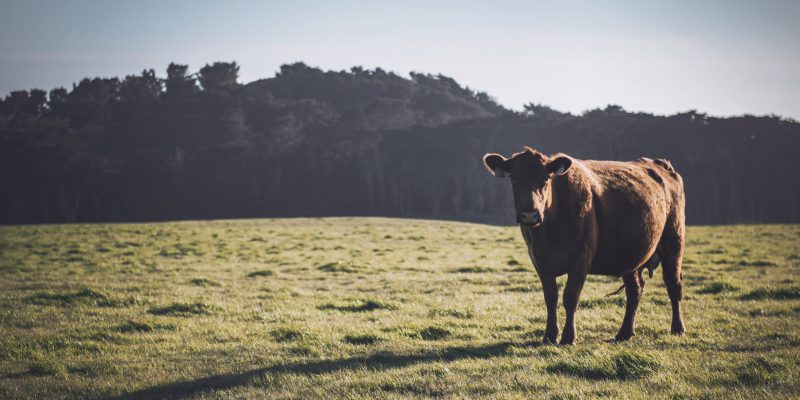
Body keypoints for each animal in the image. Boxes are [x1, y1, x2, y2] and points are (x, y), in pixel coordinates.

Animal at [484, 147, 684, 344]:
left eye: (545, 179)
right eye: (514, 179)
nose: (529, 215)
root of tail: (660, 164)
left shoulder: (580, 260)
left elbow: (570, 297)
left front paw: (568, 337)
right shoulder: (540, 263)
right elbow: (551, 298)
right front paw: (549, 336)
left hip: (673, 242)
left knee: (673, 284)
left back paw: (678, 328)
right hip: (630, 258)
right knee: (635, 290)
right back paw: (624, 333)